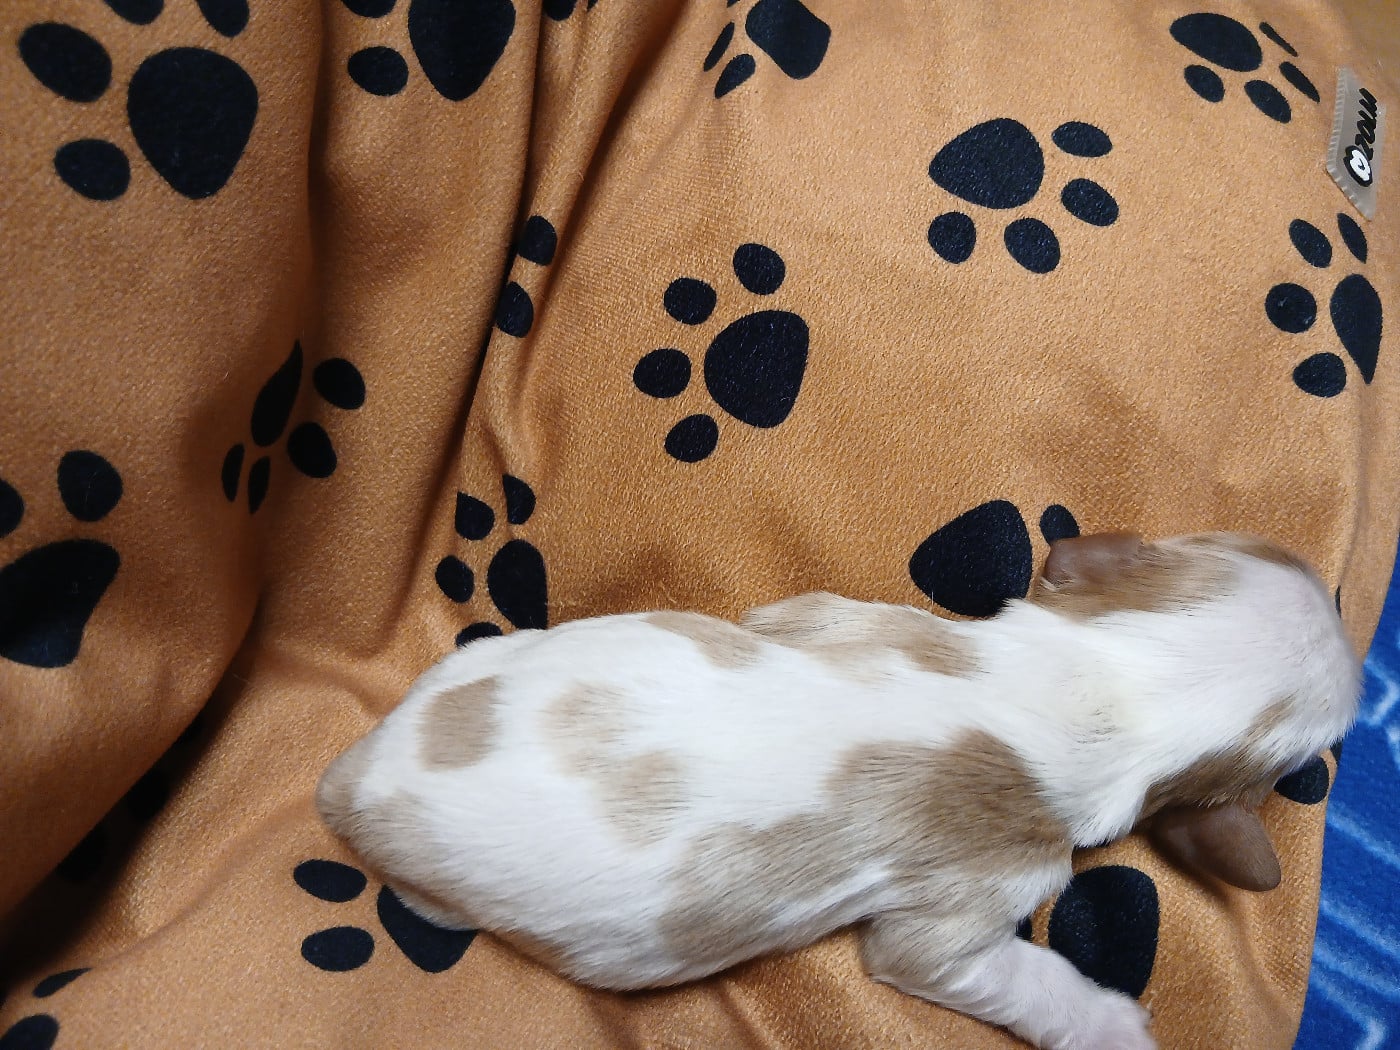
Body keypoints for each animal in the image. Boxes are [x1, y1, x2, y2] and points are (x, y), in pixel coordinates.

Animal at [317, 531, 1360, 1050]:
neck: (1095, 686)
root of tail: (353, 780)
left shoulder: (828, 613)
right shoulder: (963, 917)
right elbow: (996, 970)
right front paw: (1108, 1022)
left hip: (483, 656)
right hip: (441, 897)